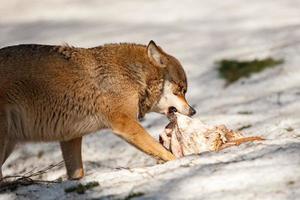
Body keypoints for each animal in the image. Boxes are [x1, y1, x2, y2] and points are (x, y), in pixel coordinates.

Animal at [0, 40, 196, 180]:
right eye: (181, 90)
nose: (193, 111)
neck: (132, 76)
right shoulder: (125, 125)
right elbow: (161, 150)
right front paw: (182, 163)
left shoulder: (70, 138)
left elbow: (77, 174)